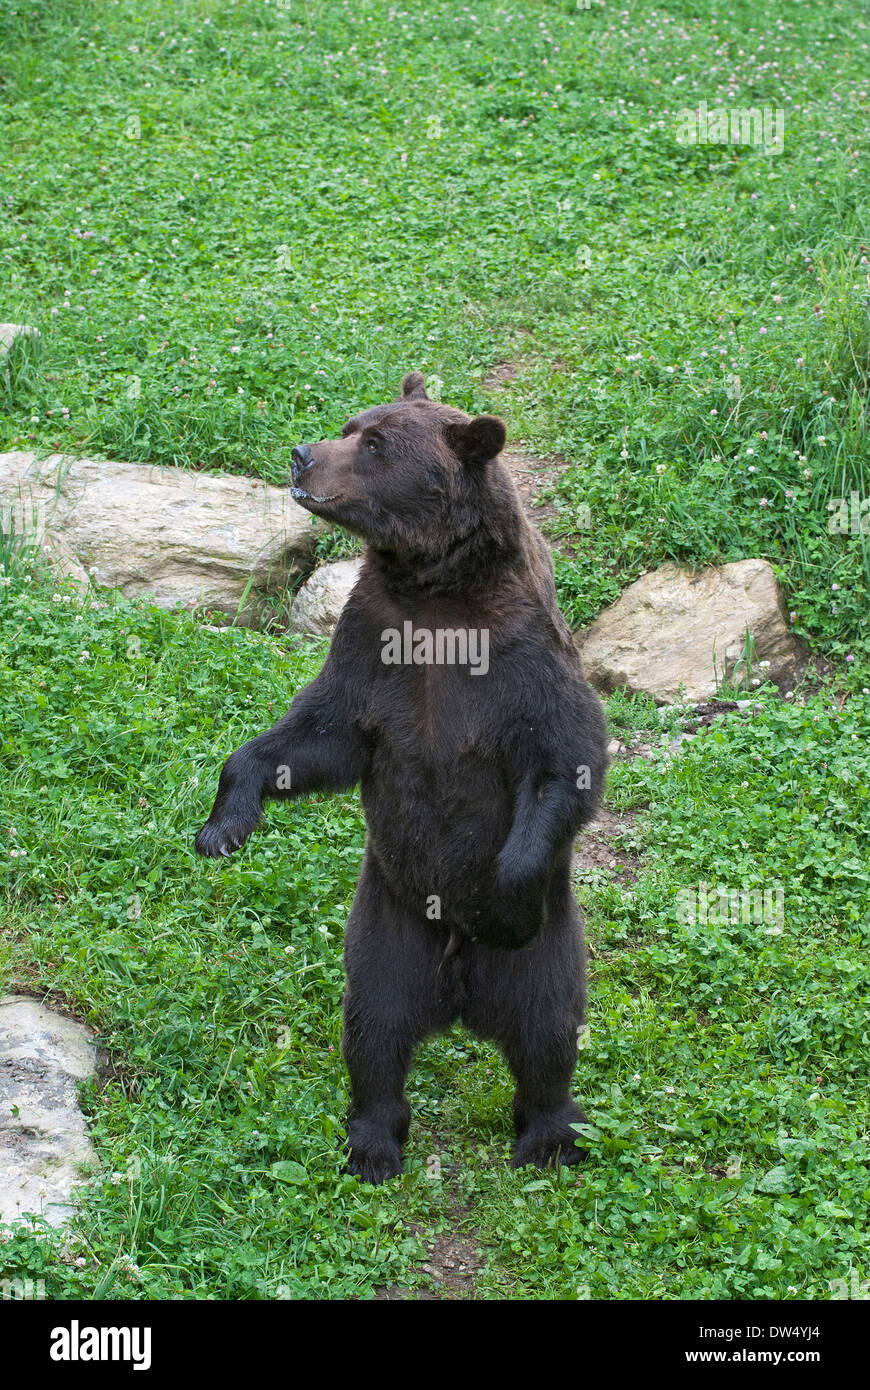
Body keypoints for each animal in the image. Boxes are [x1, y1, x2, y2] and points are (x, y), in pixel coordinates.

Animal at [194, 372, 605, 1184]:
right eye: (351, 424)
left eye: (376, 444)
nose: (302, 454)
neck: (435, 591)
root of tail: (458, 996)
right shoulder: (374, 642)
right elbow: (322, 734)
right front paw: (225, 823)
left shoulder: (523, 661)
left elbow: (566, 760)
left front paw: (506, 893)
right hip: (388, 927)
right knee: (375, 1028)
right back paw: (374, 1139)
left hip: (540, 949)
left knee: (546, 1030)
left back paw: (549, 1134)